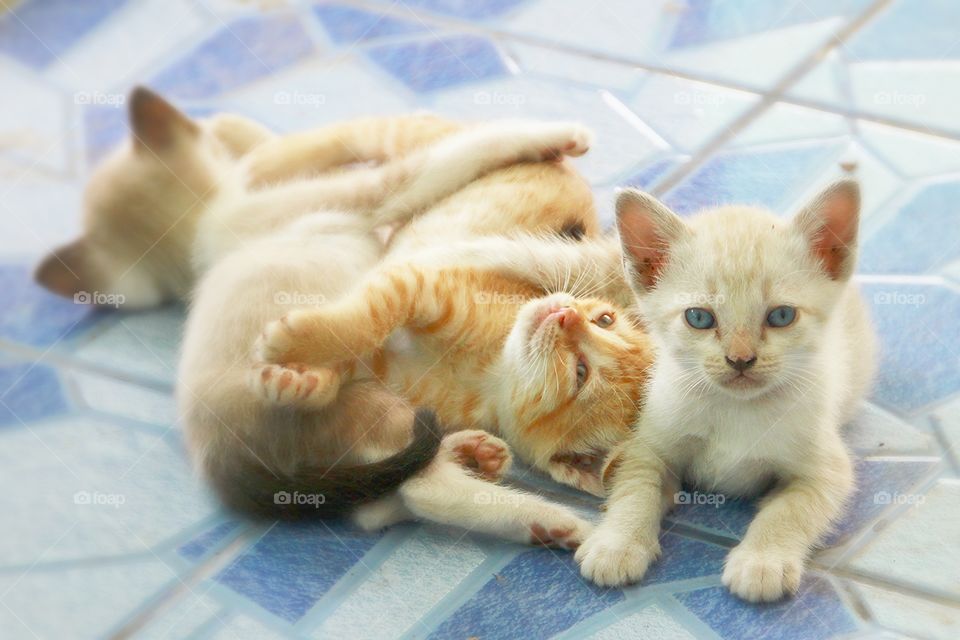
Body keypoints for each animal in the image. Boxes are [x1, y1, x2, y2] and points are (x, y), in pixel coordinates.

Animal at [572, 181, 880, 604]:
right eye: (699, 318)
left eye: (781, 316)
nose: (740, 360)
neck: (737, 408)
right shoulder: (648, 445)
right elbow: (636, 489)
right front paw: (617, 544)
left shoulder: (827, 471)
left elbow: (789, 510)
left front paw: (762, 562)